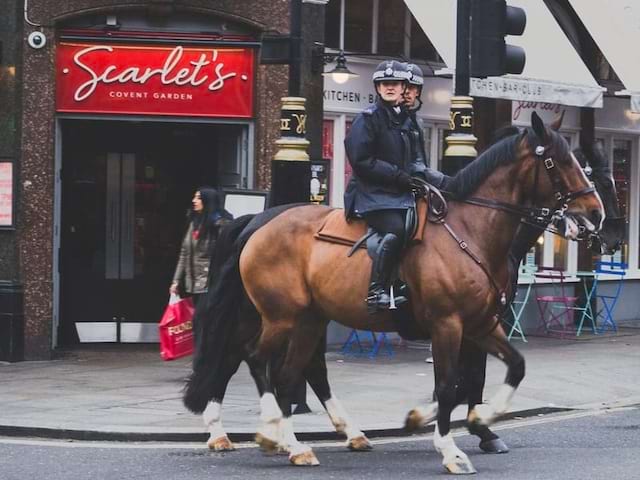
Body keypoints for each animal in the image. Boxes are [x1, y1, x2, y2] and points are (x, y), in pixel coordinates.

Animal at [238, 114, 604, 474]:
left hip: (310, 319)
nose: (596, 213)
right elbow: (449, 384)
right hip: (281, 317)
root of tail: (261, 225)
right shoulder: (447, 324)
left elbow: (510, 368)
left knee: (289, 374)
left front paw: (473, 419)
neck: (471, 231)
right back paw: (271, 429)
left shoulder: (481, 325)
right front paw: (451, 449)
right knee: (257, 358)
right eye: (557, 161)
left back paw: (296, 445)